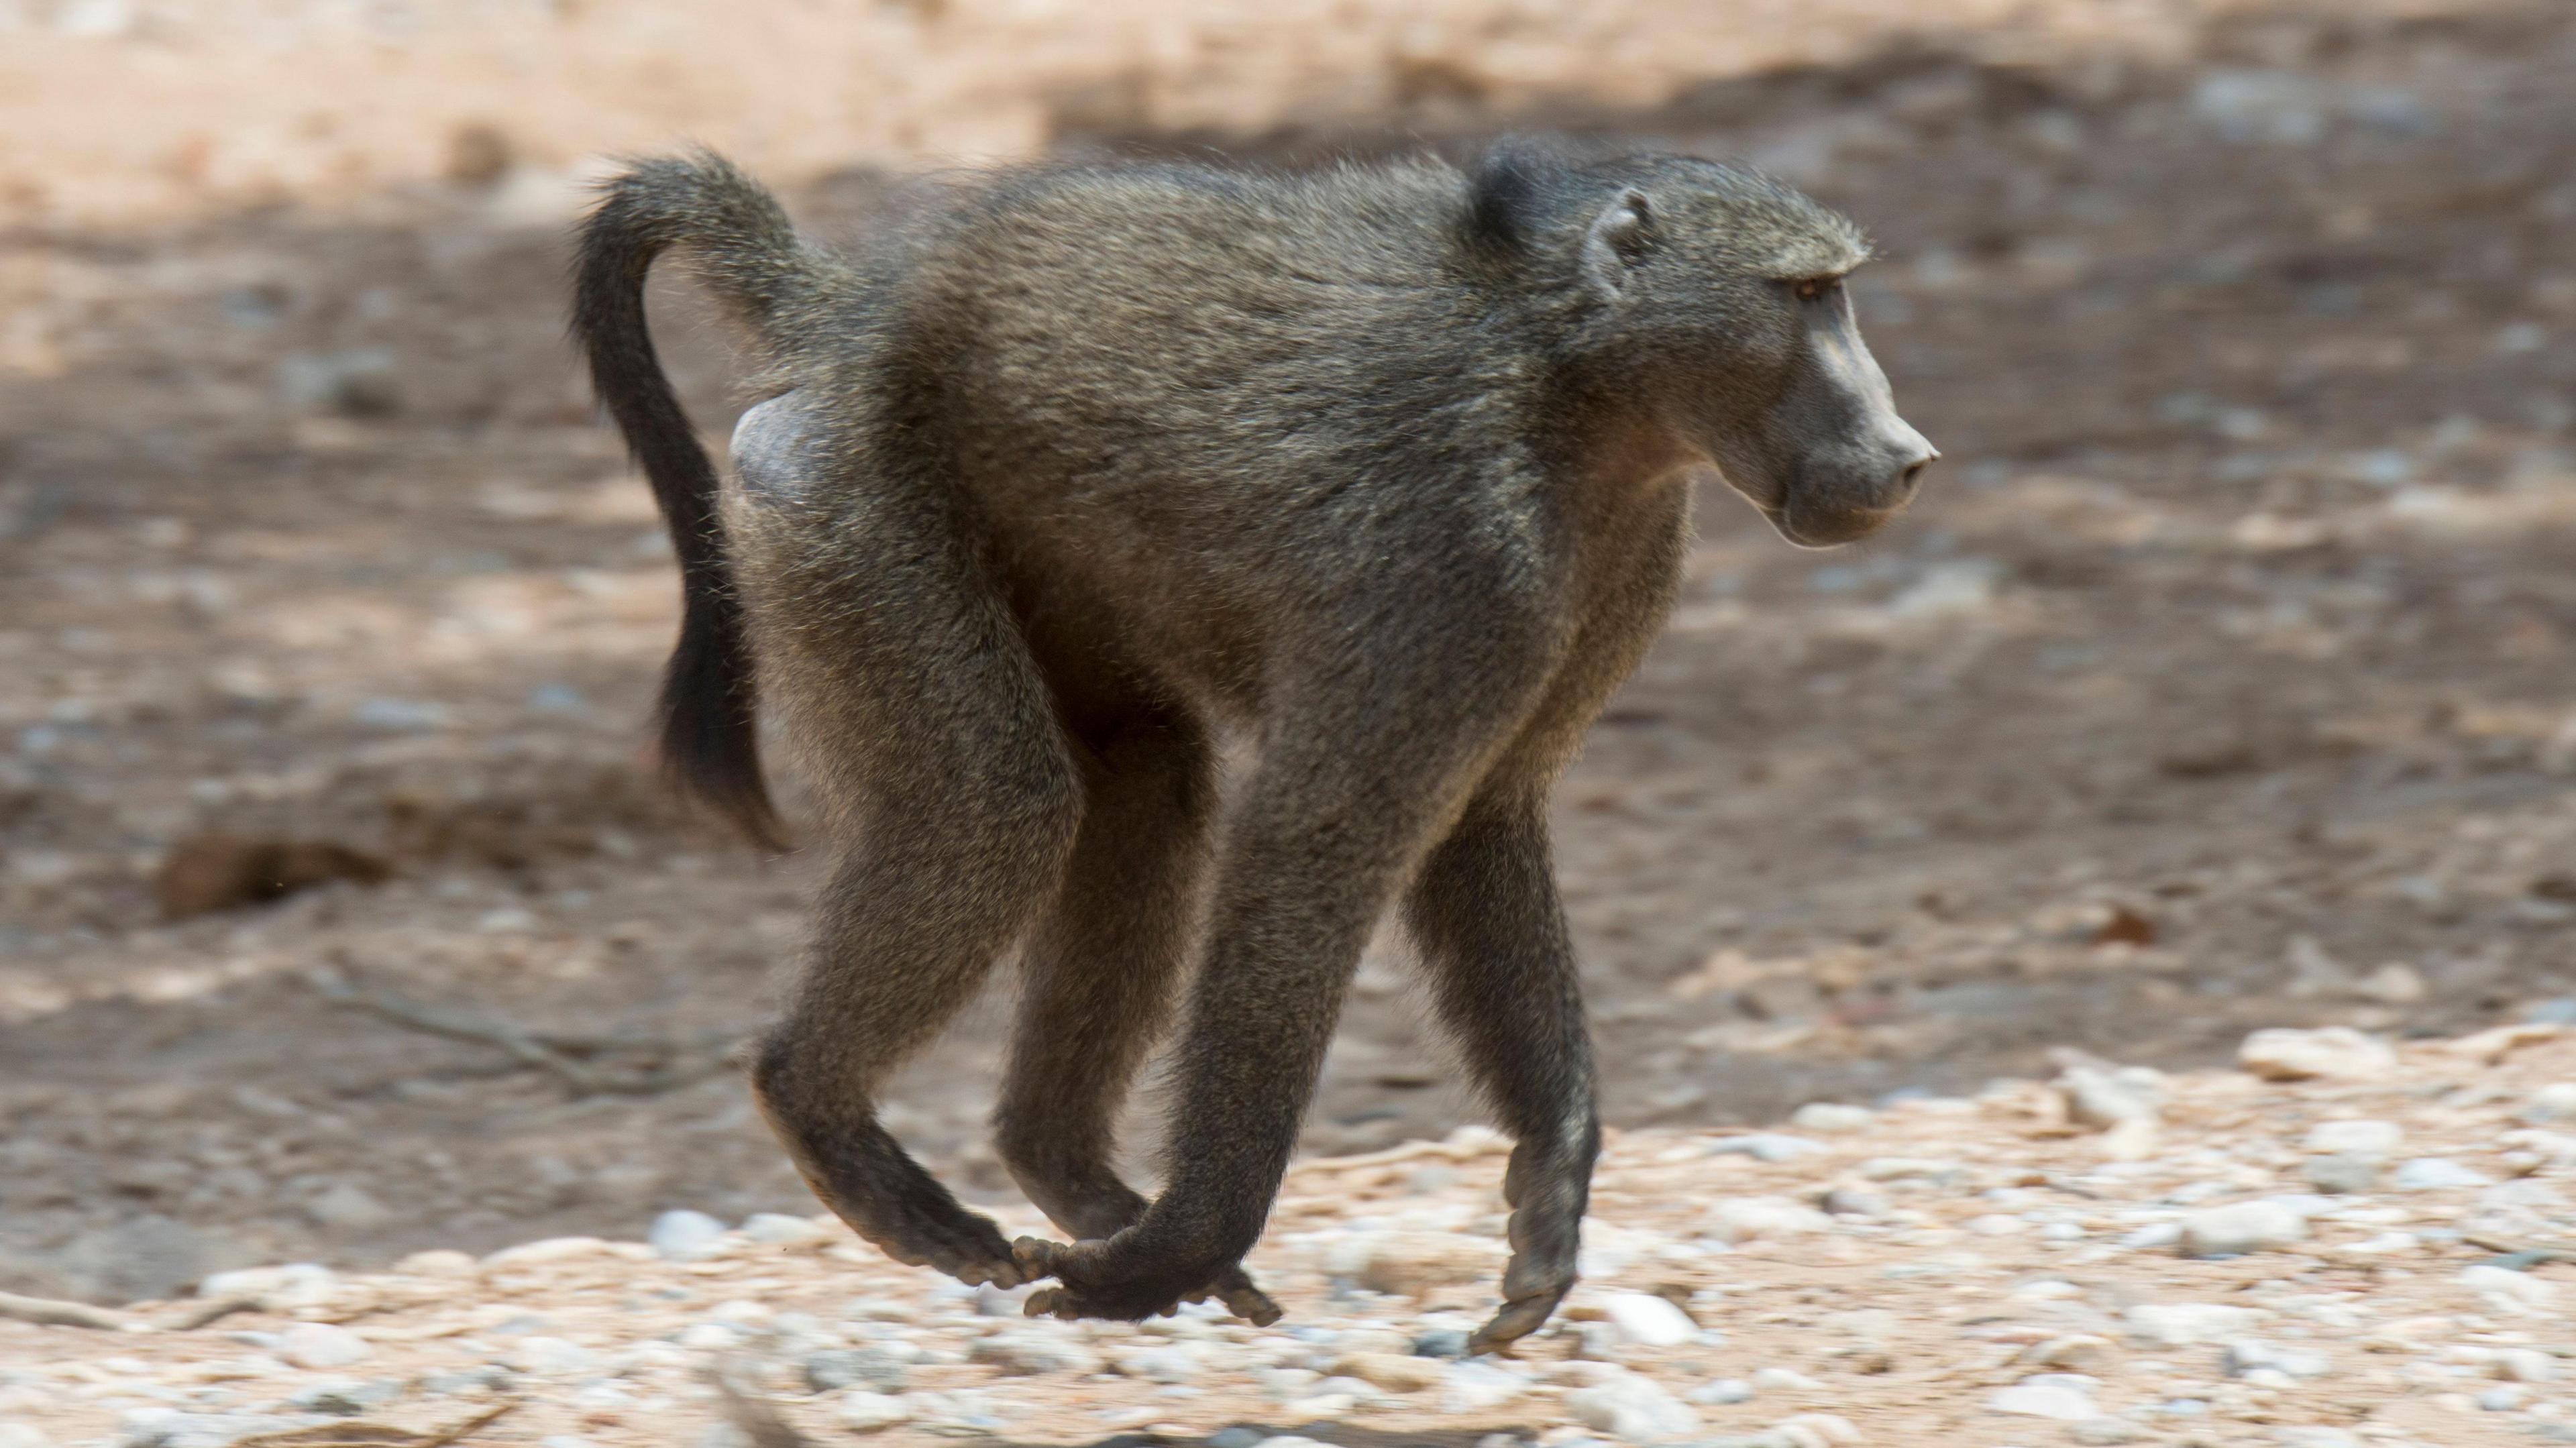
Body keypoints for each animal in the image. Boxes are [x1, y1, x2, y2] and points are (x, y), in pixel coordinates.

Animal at [571, 139, 1934, 1352]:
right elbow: (1318, 842)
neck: (1570, 376)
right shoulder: (1460, 549)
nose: (1906, 455)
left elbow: (1481, 817)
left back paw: (1063, 1162)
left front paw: (1548, 1196)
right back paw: (830, 1113)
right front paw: (1180, 1250)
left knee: (1146, 777)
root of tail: (849, 313)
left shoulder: (1618, 558)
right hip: (840, 497)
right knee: (997, 804)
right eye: (1806, 296)